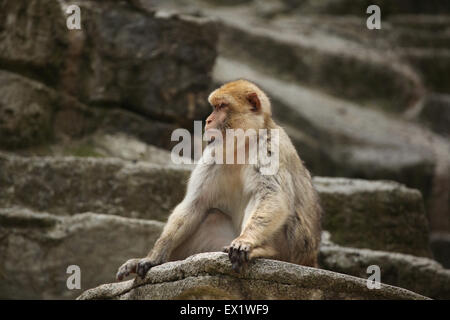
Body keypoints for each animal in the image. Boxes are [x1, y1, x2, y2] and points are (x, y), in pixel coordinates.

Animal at [115, 79, 320, 280]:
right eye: (214, 107)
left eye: (222, 106)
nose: (208, 120)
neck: (244, 143)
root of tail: (310, 260)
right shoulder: (213, 154)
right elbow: (195, 203)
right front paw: (153, 257)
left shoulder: (270, 148)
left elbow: (271, 197)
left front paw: (245, 241)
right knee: (212, 215)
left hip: (295, 246)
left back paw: (264, 250)